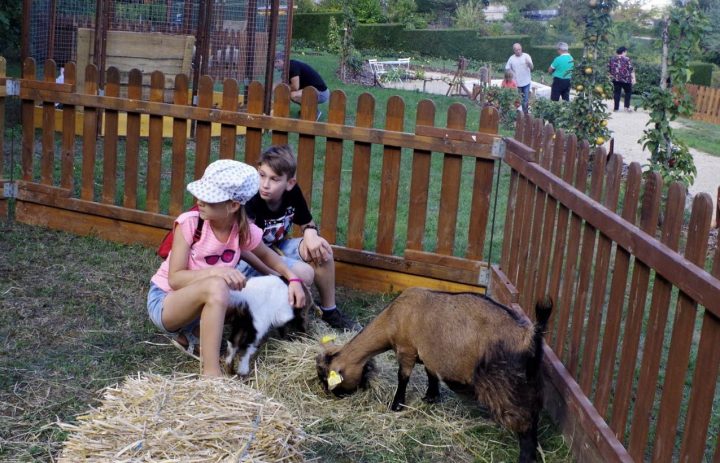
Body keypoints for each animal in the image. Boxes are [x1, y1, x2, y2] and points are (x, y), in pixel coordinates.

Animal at [316, 288, 552, 462]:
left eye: (327, 379)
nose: (332, 396)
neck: (393, 317)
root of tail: (529, 335)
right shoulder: (429, 354)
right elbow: (431, 375)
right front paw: (431, 396)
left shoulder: (407, 350)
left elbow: (403, 377)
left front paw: (396, 405)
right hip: (531, 381)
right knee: (534, 414)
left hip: (506, 384)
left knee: (524, 421)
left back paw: (525, 457)